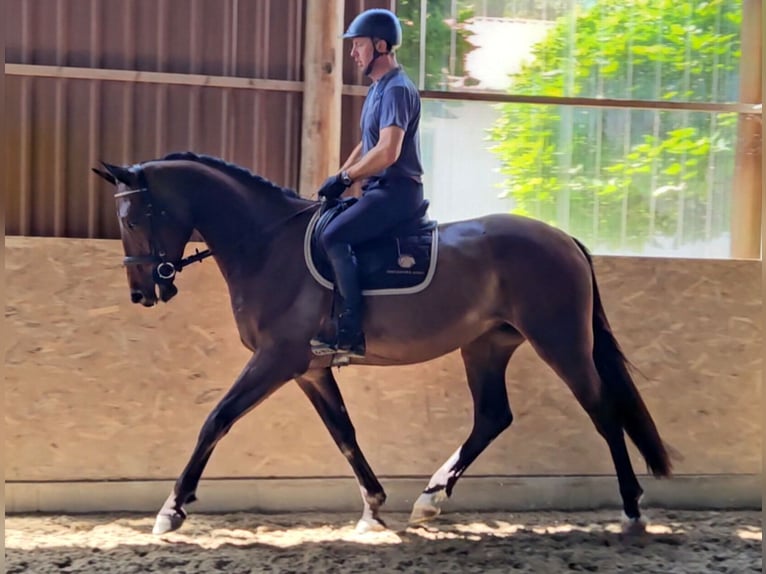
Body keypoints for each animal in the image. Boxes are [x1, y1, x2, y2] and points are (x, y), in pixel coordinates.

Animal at [93, 152, 676, 536]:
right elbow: (344, 434)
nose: (142, 292)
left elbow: (216, 419)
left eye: (133, 218)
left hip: (560, 340)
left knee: (601, 409)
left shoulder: (276, 359)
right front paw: (374, 505)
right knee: (492, 417)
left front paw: (172, 509)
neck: (268, 245)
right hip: (486, 345)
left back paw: (632, 509)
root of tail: (565, 240)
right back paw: (430, 501)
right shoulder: (309, 368)